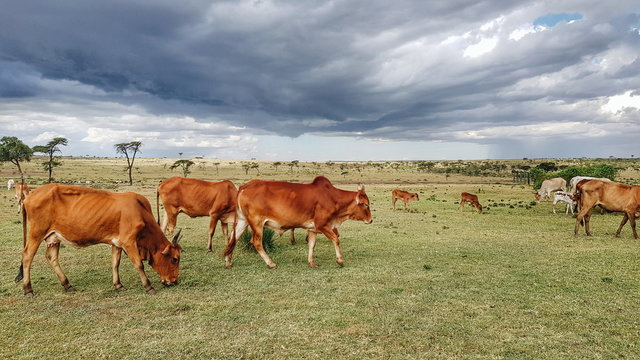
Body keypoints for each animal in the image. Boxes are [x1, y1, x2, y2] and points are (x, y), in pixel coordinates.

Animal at [16, 183, 181, 296]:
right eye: (174, 259)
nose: (174, 282)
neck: (140, 211)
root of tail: (30, 195)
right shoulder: (129, 241)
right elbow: (139, 264)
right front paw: (148, 286)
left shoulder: (117, 243)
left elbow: (115, 264)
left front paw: (118, 285)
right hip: (36, 233)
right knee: (27, 256)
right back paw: (28, 289)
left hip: (54, 237)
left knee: (52, 258)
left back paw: (67, 284)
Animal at [225, 176, 376, 268]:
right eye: (365, 204)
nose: (371, 220)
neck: (332, 198)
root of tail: (244, 186)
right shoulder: (322, 225)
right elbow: (335, 239)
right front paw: (340, 260)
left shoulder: (313, 228)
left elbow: (311, 245)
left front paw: (312, 263)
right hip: (257, 223)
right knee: (256, 242)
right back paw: (271, 263)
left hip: (242, 221)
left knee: (232, 240)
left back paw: (228, 262)